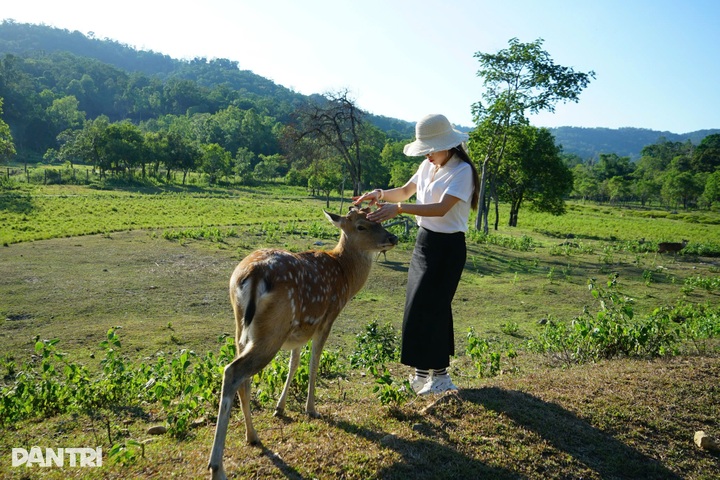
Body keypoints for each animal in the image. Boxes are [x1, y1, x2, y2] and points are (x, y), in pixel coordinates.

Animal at [208, 206, 398, 480]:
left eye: (378, 221)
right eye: (362, 225)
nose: (393, 238)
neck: (346, 277)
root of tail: (253, 276)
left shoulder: (298, 330)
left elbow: (294, 364)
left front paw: (280, 408)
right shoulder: (327, 318)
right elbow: (313, 364)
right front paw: (311, 409)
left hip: (242, 326)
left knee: (242, 376)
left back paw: (252, 436)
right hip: (272, 330)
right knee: (233, 371)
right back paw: (217, 467)